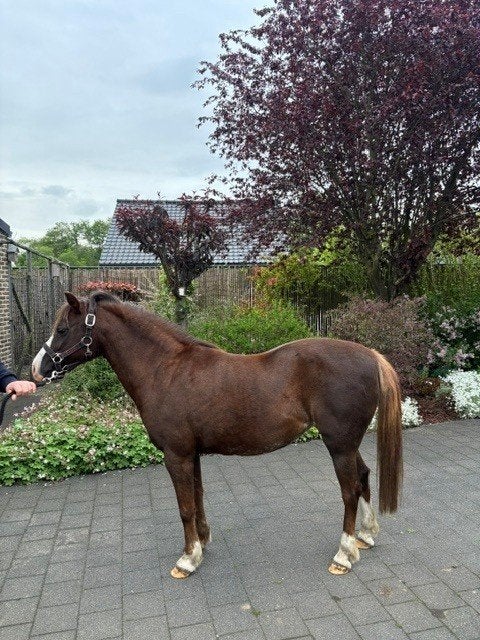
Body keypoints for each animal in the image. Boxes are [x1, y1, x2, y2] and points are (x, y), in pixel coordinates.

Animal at [32, 291, 403, 579]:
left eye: (62, 329)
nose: (38, 370)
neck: (165, 370)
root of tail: (370, 355)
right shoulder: (191, 454)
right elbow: (196, 498)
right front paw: (202, 542)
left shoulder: (176, 455)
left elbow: (184, 506)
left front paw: (187, 559)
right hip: (346, 443)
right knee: (364, 476)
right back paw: (366, 536)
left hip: (338, 445)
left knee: (349, 490)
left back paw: (344, 554)